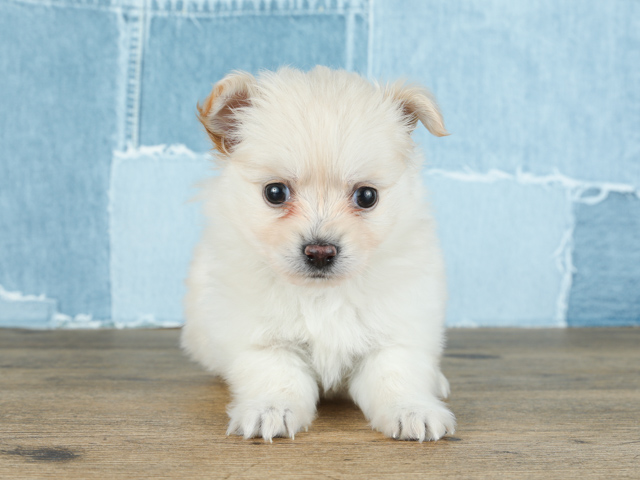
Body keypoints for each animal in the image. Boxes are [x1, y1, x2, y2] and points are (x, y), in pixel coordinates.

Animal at [181, 66, 456, 442]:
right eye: (275, 193)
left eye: (367, 196)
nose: (320, 252)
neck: (322, 295)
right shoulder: (262, 340)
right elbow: (277, 375)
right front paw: (271, 410)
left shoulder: (397, 328)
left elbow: (396, 373)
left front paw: (413, 410)